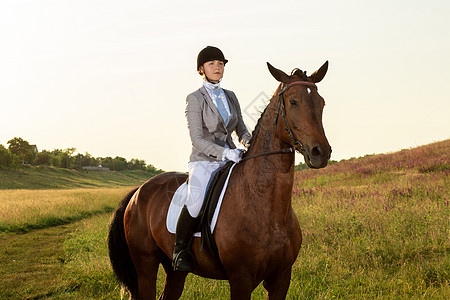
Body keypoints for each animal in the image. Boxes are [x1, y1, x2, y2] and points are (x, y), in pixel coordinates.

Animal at [108, 60, 332, 298]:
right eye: (293, 102)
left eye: (321, 103)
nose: (321, 152)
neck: (266, 206)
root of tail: (138, 191)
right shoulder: (241, 279)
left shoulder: (281, 278)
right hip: (145, 266)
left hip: (174, 270)